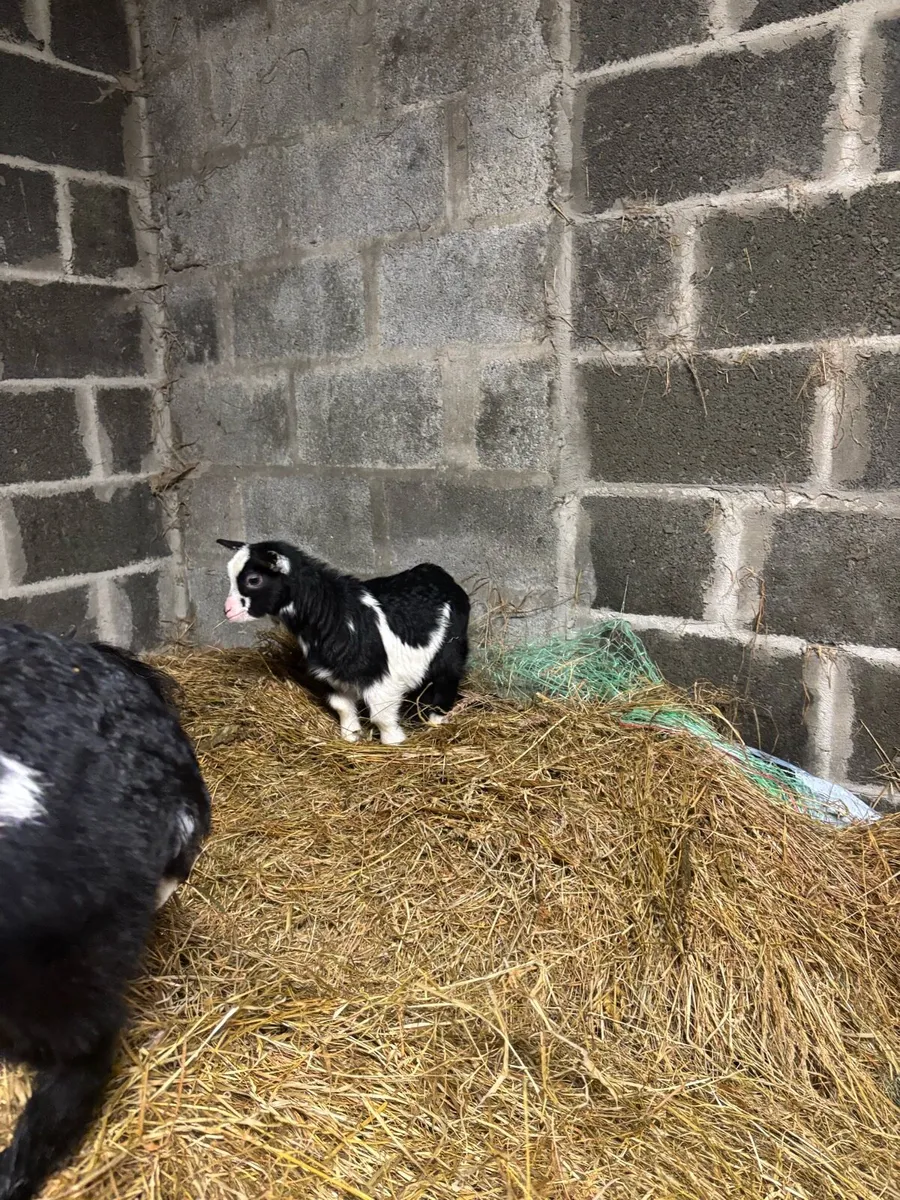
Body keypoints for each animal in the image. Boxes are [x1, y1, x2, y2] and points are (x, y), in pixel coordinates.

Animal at [217, 539, 470, 745]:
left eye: (254, 579)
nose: (228, 611)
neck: (335, 613)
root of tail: (437, 572)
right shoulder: (333, 676)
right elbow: (342, 706)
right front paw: (350, 736)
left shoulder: (381, 679)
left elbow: (381, 716)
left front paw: (394, 742)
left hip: (451, 647)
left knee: (446, 679)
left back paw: (436, 721)